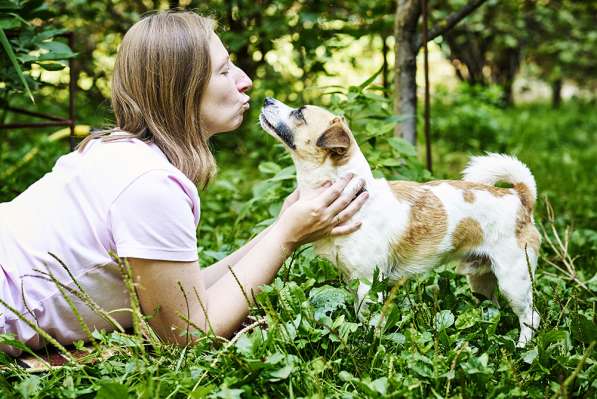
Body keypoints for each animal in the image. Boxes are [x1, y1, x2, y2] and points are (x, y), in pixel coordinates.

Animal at [260, 97, 540, 346]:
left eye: (299, 113)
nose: (266, 99)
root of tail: (519, 196)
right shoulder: (353, 282)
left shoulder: (368, 284)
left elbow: (371, 323)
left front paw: (368, 348)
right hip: (481, 281)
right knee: (493, 308)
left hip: (513, 280)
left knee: (530, 316)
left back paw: (522, 347)